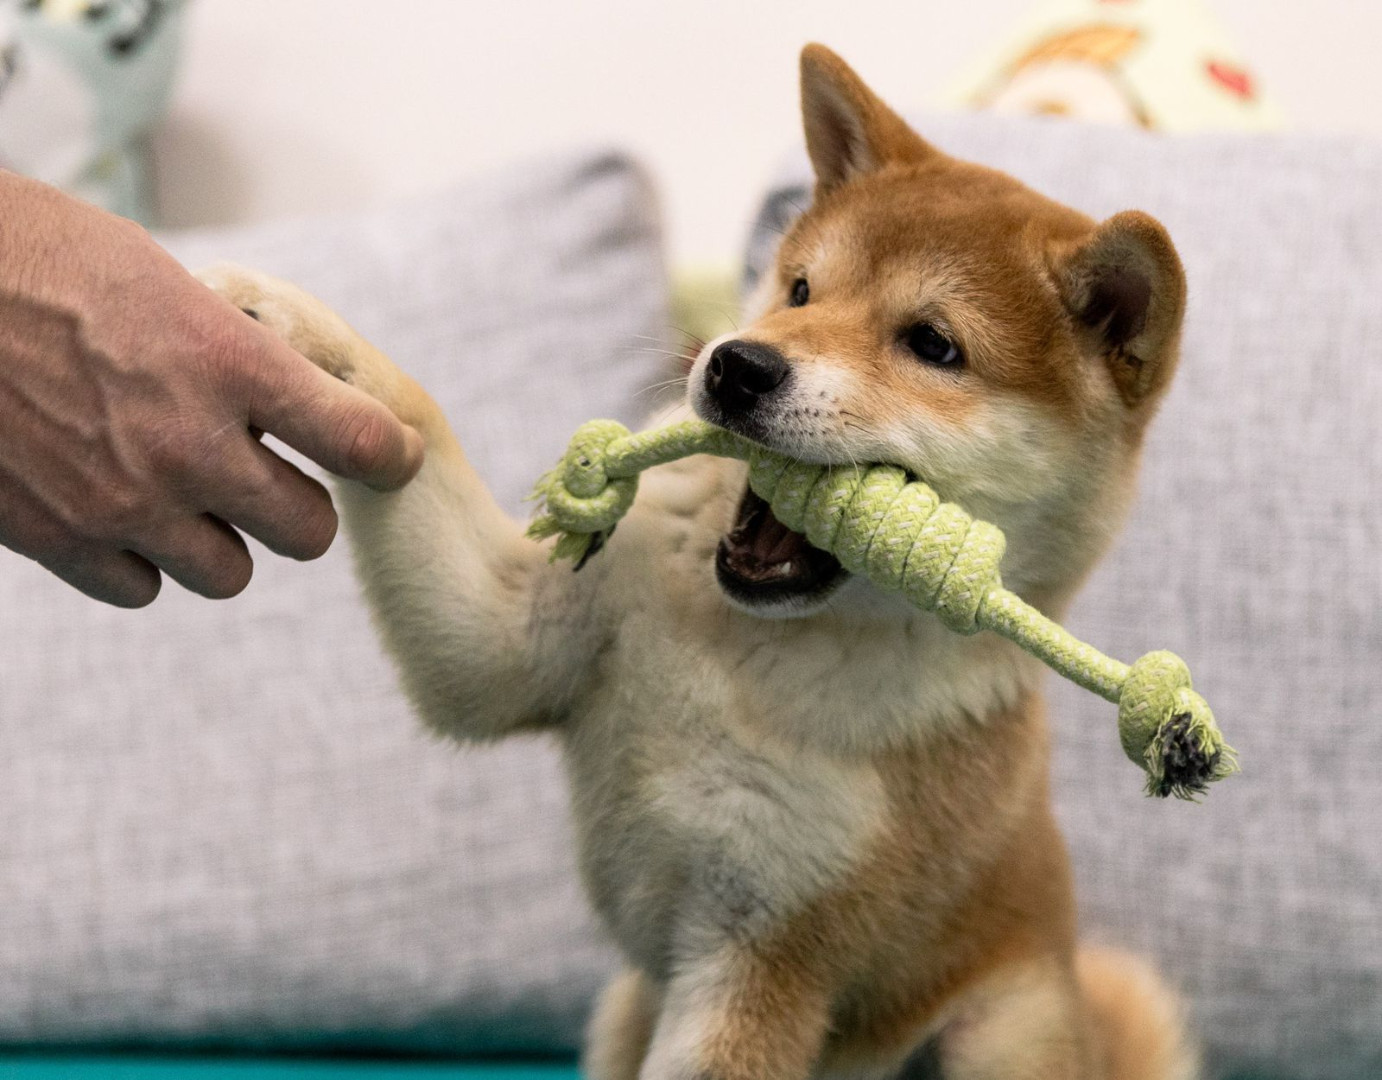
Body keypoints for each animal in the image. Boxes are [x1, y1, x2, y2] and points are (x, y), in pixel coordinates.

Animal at [201, 46, 1199, 1078]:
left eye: (933, 344)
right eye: (799, 290)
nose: (736, 364)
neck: (737, 652)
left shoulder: (763, 957)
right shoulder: (508, 640)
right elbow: (415, 417)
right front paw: (292, 328)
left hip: (1004, 1028)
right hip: (624, 1006)